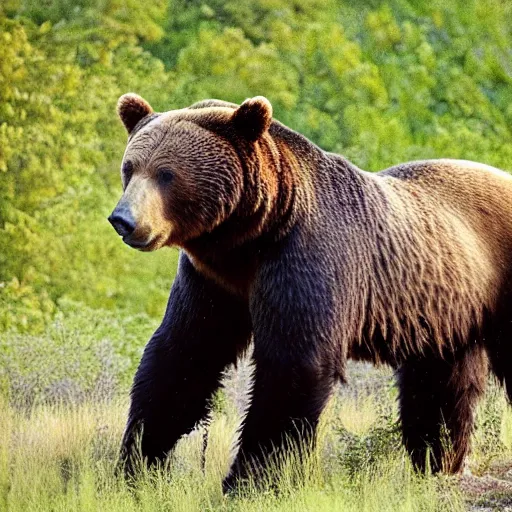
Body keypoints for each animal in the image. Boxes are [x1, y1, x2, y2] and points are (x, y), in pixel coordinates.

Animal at [109, 93, 512, 492]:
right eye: (130, 167)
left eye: (167, 174)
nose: (123, 220)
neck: (250, 239)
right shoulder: (212, 281)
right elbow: (185, 355)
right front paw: (137, 463)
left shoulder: (305, 259)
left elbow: (293, 363)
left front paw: (251, 478)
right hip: (445, 312)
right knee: (439, 387)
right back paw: (438, 462)